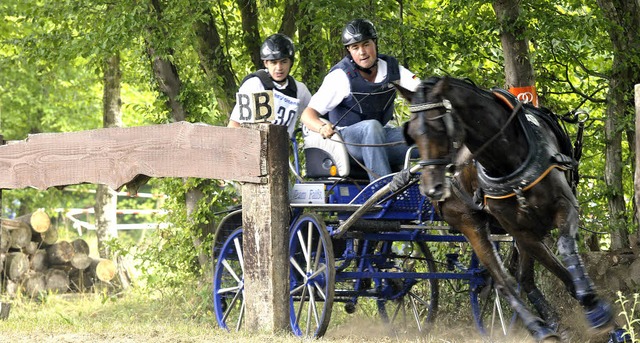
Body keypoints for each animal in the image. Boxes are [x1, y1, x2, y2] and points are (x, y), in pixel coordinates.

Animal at [402, 76, 624, 342]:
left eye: (439, 127)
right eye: (411, 133)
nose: (432, 188)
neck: (504, 158)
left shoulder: (562, 207)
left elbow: (565, 249)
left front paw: (598, 313)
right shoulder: (520, 230)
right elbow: (551, 272)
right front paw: (596, 312)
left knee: (521, 277)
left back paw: (552, 323)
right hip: (469, 223)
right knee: (503, 280)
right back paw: (539, 328)